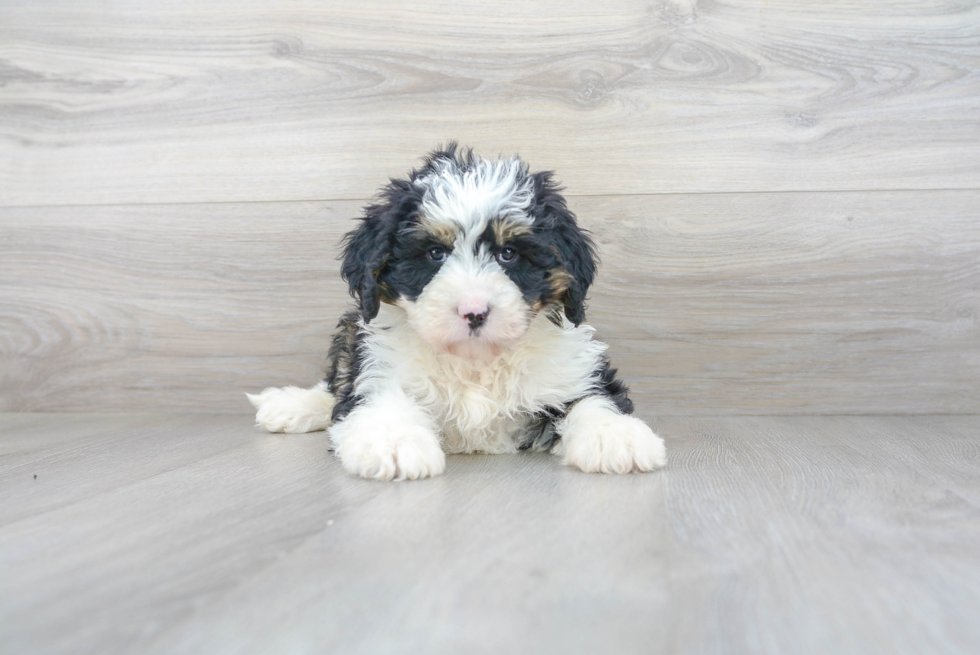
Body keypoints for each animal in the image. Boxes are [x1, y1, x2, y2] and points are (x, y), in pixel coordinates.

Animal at [249, 145, 668, 482]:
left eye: (508, 254)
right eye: (435, 253)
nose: (474, 312)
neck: (476, 364)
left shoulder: (573, 370)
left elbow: (593, 399)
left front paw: (616, 436)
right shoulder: (380, 367)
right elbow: (374, 399)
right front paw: (394, 444)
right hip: (352, 329)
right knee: (335, 384)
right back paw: (289, 406)